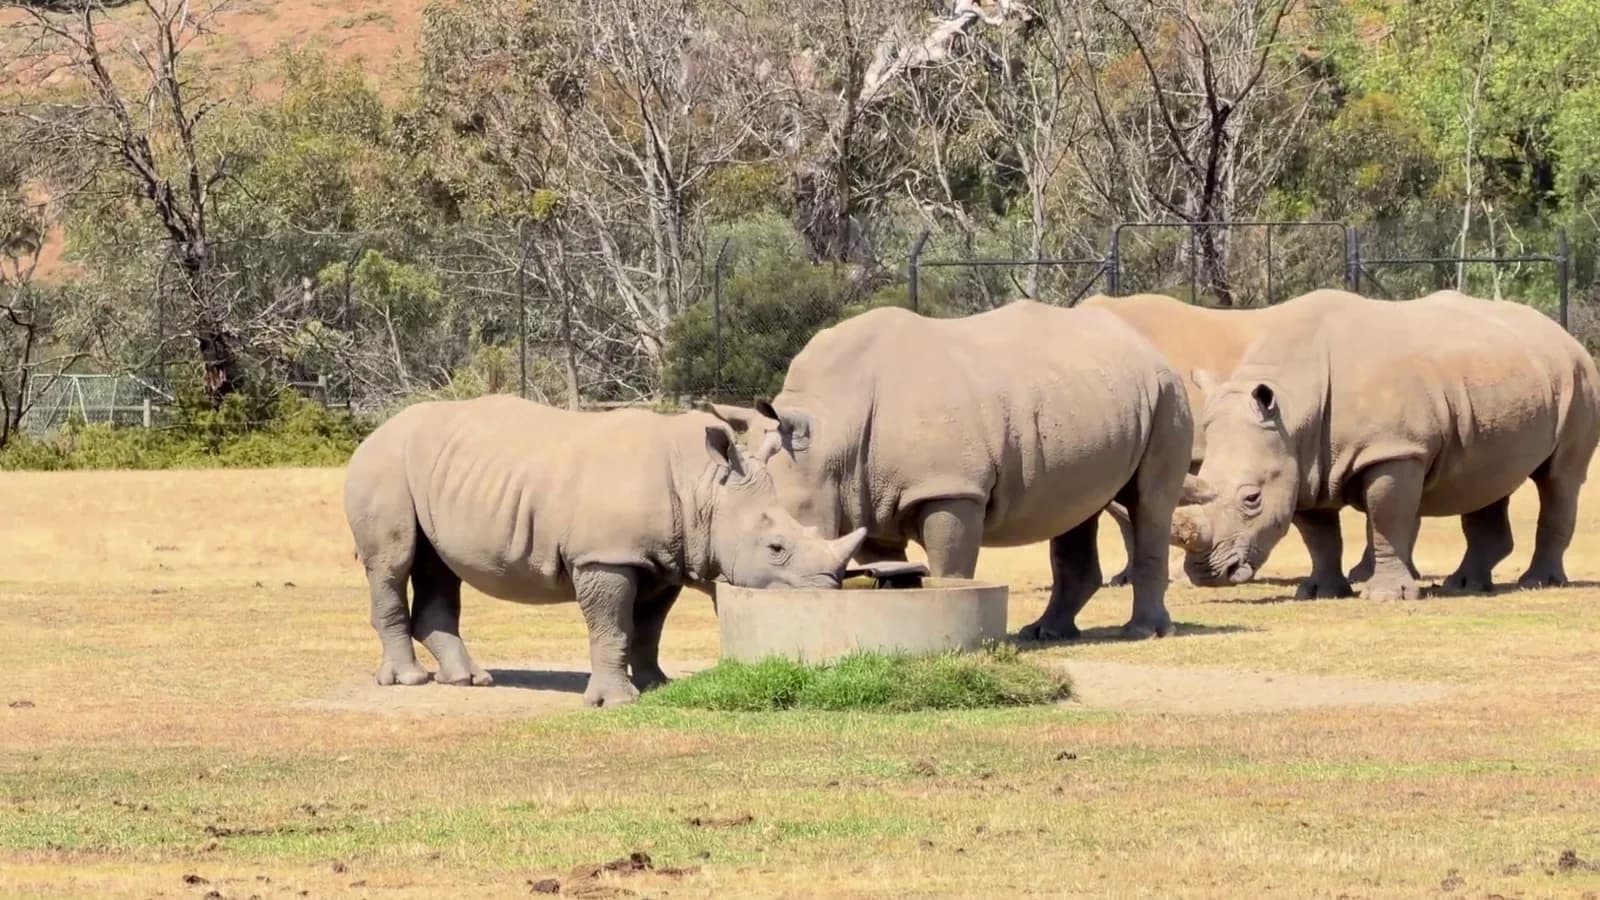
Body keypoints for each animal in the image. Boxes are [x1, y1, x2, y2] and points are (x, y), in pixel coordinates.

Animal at [343, 394, 866, 708]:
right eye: (776, 547)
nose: (829, 590)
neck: (702, 489)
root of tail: (372, 433)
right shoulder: (607, 556)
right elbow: (611, 626)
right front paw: (617, 702)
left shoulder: (662, 560)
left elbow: (648, 630)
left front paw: (658, 687)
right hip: (383, 466)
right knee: (392, 563)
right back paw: (410, 681)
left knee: (438, 566)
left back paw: (469, 681)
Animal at [706, 299, 1194, 641]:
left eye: (781, 534)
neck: (829, 433)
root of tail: (1150, 349)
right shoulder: (863, 496)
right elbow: (881, 559)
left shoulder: (950, 488)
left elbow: (950, 565)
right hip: (1094, 398)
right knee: (1078, 509)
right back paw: (1045, 633)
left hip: (1167, 392)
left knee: (1149, 503)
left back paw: (1142, 632)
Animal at [1171, 289, 1600, 601]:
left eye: (1252, 499)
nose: (1205, 574)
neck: (1294, 406)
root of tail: (1563, 334)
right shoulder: (1303, 462)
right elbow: (1319, 535)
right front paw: (1318, 592)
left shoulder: (1395, 449)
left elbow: (1386, 520)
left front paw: (1386, 596)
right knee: (1489, 478)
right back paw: (1465, 586)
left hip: (1579, 377)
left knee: (1560, 478)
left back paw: (1537, 582)